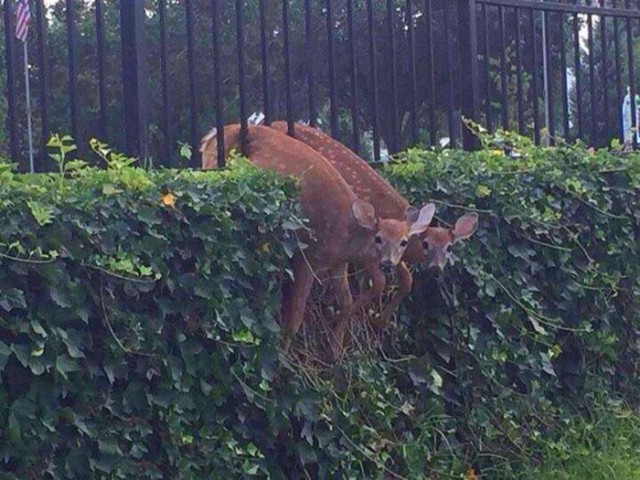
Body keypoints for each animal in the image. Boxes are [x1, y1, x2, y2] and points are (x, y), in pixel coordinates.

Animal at [198, 124, 432, 356]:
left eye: (403, 241)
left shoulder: (338, 265)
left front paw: (335, 351)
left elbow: (347, 302)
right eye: (378, 239)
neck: (345, 237)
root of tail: (212, 135)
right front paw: (283, 355)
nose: (388, 262)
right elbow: (297, 312)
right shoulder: (308, 258)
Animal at [268, 122, 478, 328]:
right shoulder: (369, 246)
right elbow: (380, 281)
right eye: (426, 244)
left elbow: (406, 279)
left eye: (449, 247)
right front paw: (346, 316)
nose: (436, 268)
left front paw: (379, 319)